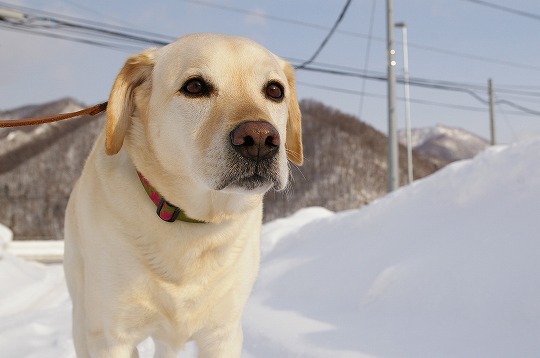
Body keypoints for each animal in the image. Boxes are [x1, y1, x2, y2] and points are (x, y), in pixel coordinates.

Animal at [63, 32, 304, 356]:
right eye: (195, 87)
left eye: (275, 90)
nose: (259, 140)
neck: (191, 224)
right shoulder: (112, 336)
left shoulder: (223, 334)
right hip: (82, 315)